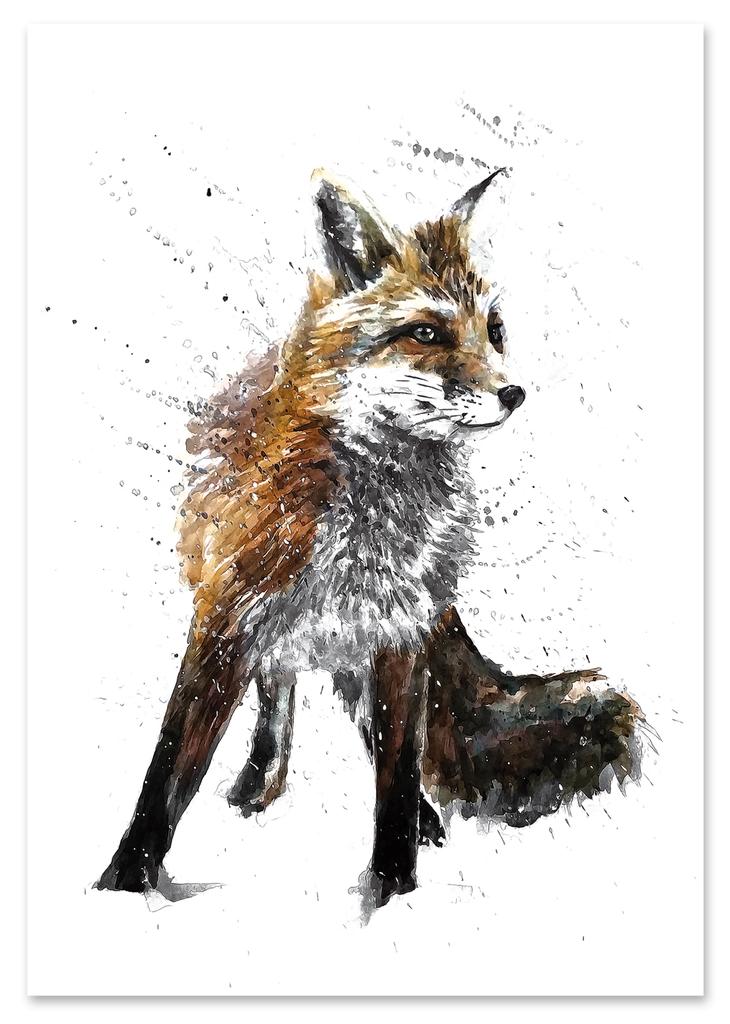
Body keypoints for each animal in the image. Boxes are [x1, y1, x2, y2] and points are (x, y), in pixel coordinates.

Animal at [97, 170, 643, 908]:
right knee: (280, 689)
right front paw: (125, 883)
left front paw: (393, 886)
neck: (367, 518)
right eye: (426, 333)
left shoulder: (399, 632)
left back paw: (417, 820)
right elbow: (167, 769)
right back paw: (260, 782)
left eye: (494, 331)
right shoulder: (225, 618)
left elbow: (397, 774)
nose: (515, 393)